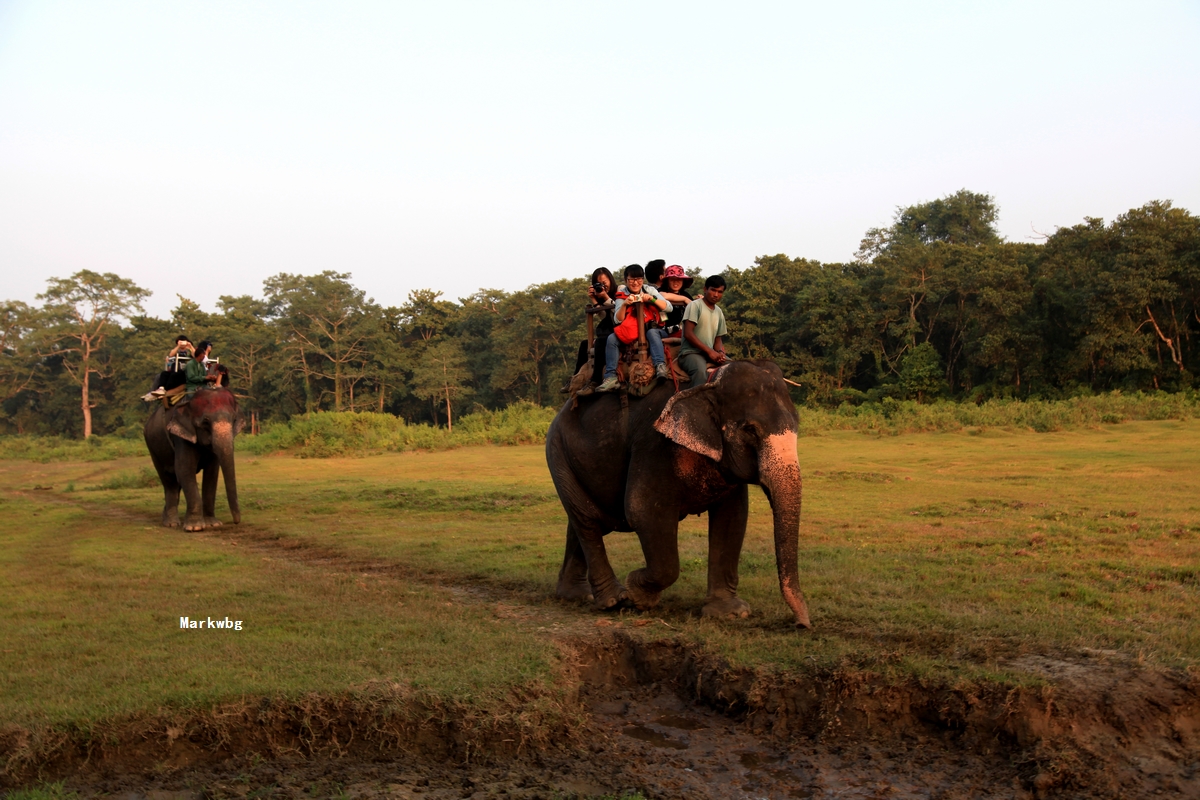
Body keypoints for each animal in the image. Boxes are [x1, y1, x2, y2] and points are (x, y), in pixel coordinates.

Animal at [142, 388, 241, 532]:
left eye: (234, 419)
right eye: (205, 421)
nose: (236, 522)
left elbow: (212, 473)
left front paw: (212, 524)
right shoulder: (180, 437)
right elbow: (184, 469)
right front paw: (194, 528)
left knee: (176, 482)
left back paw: (165, 517)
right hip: (152, 446)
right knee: (169, 480)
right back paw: (171, 523)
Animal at [547, 359, 811, 628]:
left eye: (797, 424)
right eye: (750, 430)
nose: (802, 624)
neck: (709, 383)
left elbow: (733, 519)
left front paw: (730, 613)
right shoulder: (655, 444)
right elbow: (643, 511)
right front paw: (636, 594)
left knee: (586, 522)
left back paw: (574, 595)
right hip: (558, 451)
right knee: (588, 521)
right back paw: (614, 600)